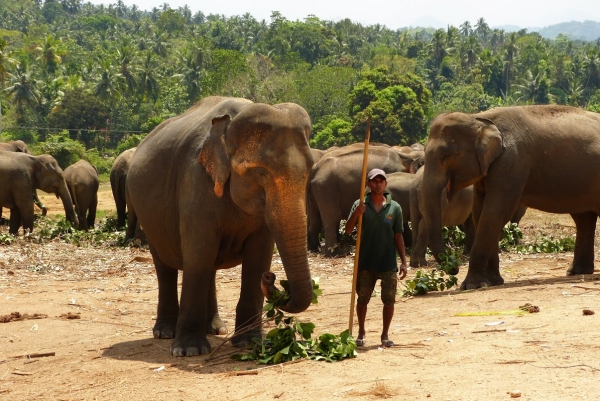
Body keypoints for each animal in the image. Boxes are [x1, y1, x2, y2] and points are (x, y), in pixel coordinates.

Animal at [126, 95, 314, 354]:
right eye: (260, 172)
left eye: (311, 168)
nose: (271, 277)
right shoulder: (194, 182)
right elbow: (198, 253)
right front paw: (189, 351)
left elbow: (258, 257)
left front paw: (250, 343)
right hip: (149, 218)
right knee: (165, 266)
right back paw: (165, 332)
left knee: (209, 267)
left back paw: (216, 329)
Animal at [422, 104, 600, 290]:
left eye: (445, 155)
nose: (454, 268)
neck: (478, 118)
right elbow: (480, 214)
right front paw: (494, 282)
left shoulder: (512, 162)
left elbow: (494, 212)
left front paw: (472, 286)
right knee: (583, 219)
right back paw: (577, 272)